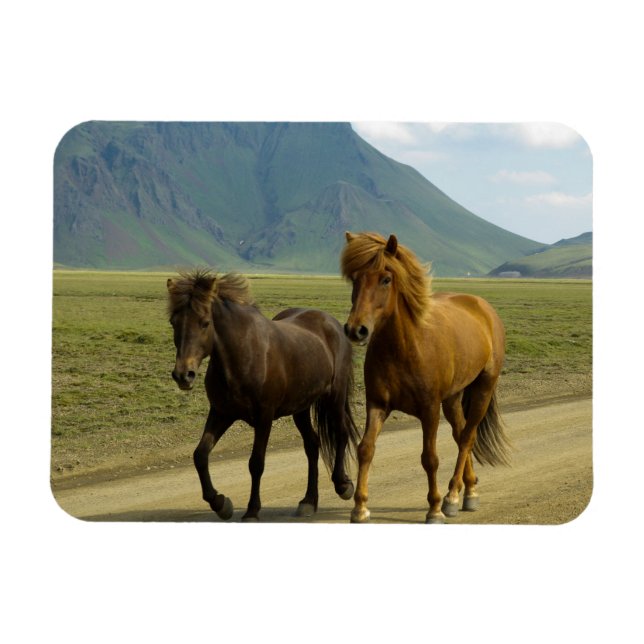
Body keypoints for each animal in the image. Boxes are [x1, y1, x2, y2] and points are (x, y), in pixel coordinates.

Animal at [166, 269, 360, 521]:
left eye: (204, 323)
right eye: (173, 322)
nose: (183, 375)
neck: (243, 356)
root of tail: (331, 322)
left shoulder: (264, 418)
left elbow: (256, 463)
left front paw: (252, 511)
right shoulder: (221, 413)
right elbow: (200, 455)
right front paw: (220, 503)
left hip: (334, 397)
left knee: (340, 433)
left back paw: (343, 485)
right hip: (300, 408)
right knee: (312, 444)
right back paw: (308, 501)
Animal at [341, 232, 512, 524]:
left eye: (386, 279)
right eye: (355, 279)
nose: (356, 330)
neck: (404, 347)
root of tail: (483, 307)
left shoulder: (429, 409)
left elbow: (429, 458)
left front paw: (434, 508)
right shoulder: (377, 405)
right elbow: (365, 449)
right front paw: (360, 507)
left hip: (484, 388)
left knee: (467, 437)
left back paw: (452, 496)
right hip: (453, 398)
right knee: (460, 433)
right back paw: (470, 490)